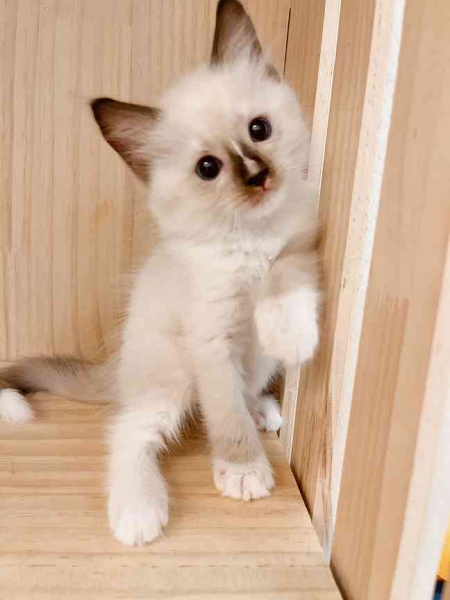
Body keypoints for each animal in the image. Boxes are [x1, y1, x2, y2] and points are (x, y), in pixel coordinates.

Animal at [0, 0, 320, 546]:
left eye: (259, 130)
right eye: (209, 168)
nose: (258, 176)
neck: (247, 239)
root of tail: (118, 370)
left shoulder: (299, 246)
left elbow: (283, 280)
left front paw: (292, 335)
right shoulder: (210, 340)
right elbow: (224, 415)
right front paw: (243, 471)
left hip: (243, 367)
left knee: (244, 388)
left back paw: (263, 409)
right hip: (173, 378)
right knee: (128, 431)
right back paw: (137, 512)